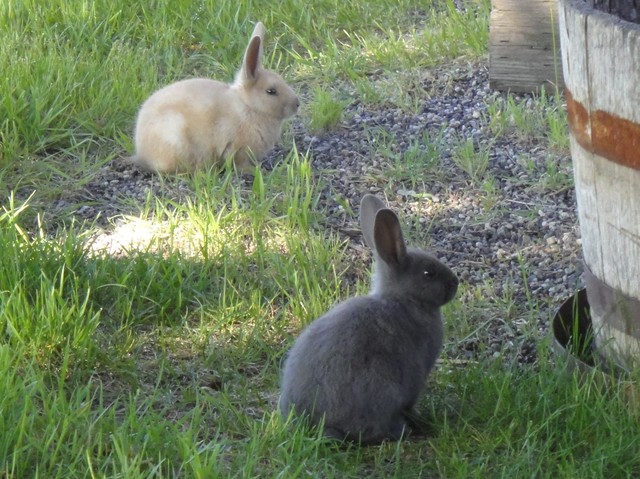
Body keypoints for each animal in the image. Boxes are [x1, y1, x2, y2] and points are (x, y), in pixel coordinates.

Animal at [134, 22, 298, 173]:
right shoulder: (236, 148)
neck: (248, 106)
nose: (297, 104)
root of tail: (141, 152)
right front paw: (253, 171)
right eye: (271, 91)